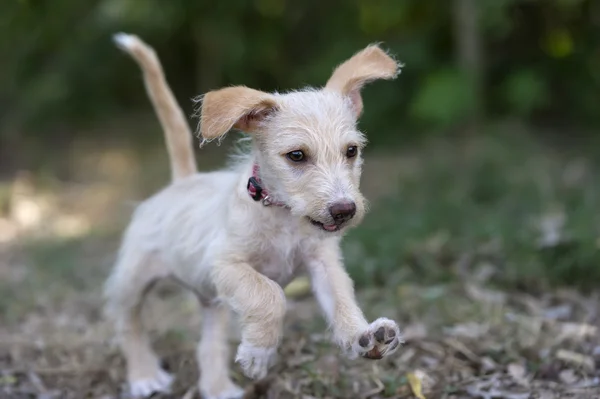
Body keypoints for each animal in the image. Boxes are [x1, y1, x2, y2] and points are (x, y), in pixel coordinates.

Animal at [104, 32, 404, 398]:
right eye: (296, 155)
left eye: (351, 151)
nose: (345, 210)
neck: (283, 216)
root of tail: (181, 182)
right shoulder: (226, 264)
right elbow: (270, 296)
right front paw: (258, 354)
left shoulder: (322, 263)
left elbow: (342, 299)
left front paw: (364, 337)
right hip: (133, 280)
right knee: (126, 322)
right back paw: (144, 375)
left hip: (213, 303)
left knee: (208, 345)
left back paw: (218, 388)